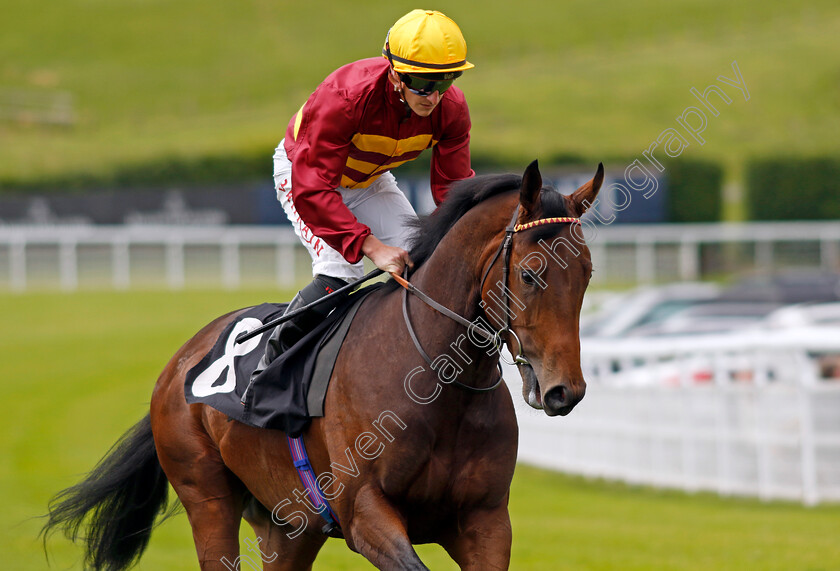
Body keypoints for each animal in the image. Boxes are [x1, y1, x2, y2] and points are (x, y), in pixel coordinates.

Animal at [42, 162, 604, 571]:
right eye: (531, 274)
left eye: (587, 273)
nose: (565, 391)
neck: (439, 383)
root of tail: (179, 363)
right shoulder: (364, 514)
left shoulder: (485, 521)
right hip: (207, 498)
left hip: (288, 525)